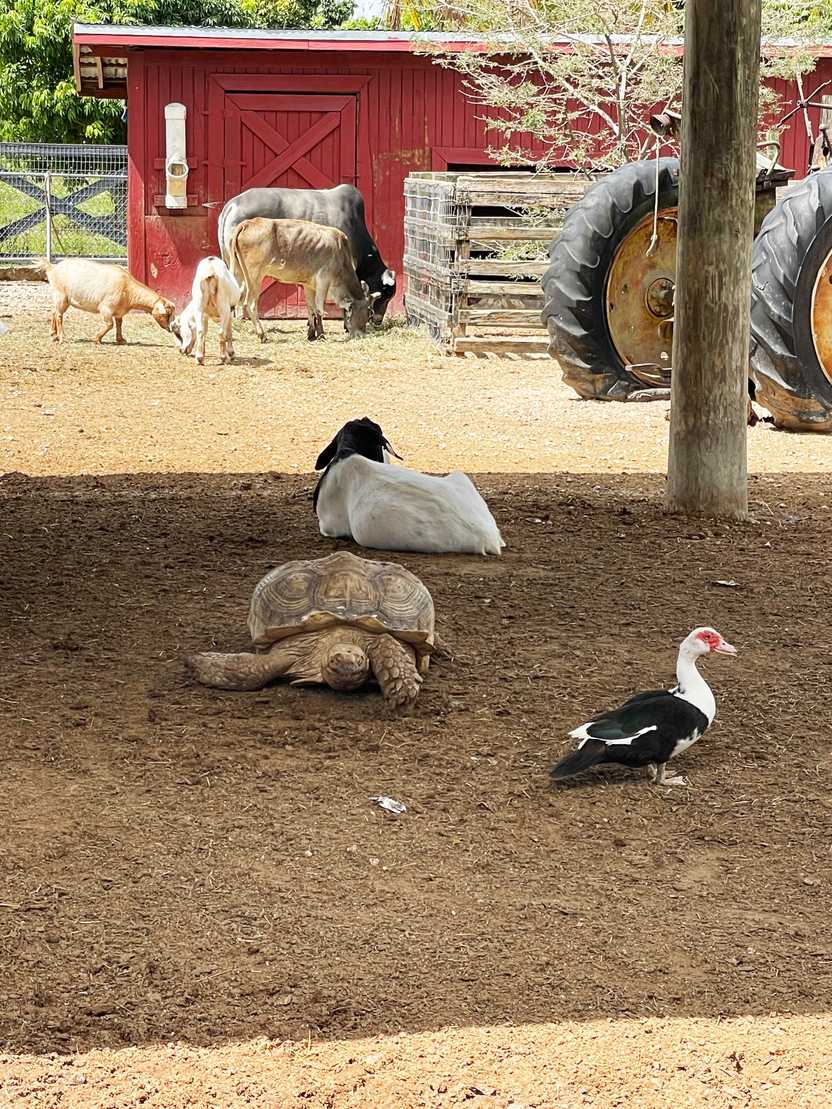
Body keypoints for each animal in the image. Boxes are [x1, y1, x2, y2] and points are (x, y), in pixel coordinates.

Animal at [35, 258, 174, 344]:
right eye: (166, 314)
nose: (170, 329)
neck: (127, 288)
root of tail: (52, 269)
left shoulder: (118, 311)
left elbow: (119, 323)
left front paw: (121, 339)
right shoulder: (106, 308)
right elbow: (110, 324)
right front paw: (96, 339)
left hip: (61, 299)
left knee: (54, 312)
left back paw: (53, 335)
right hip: (61, 296)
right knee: (59, 315)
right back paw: (62, 337)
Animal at [230, 217, 375, 342]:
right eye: (366, 314)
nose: (362, 335)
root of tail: (249, 223)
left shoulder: (309, 285)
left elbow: (311, 308)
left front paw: (311, 334)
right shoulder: (323, 281)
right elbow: (319, 309)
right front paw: (321, 334)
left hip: (239, 275)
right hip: (255, 277)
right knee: (250, 303)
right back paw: (262, 335)